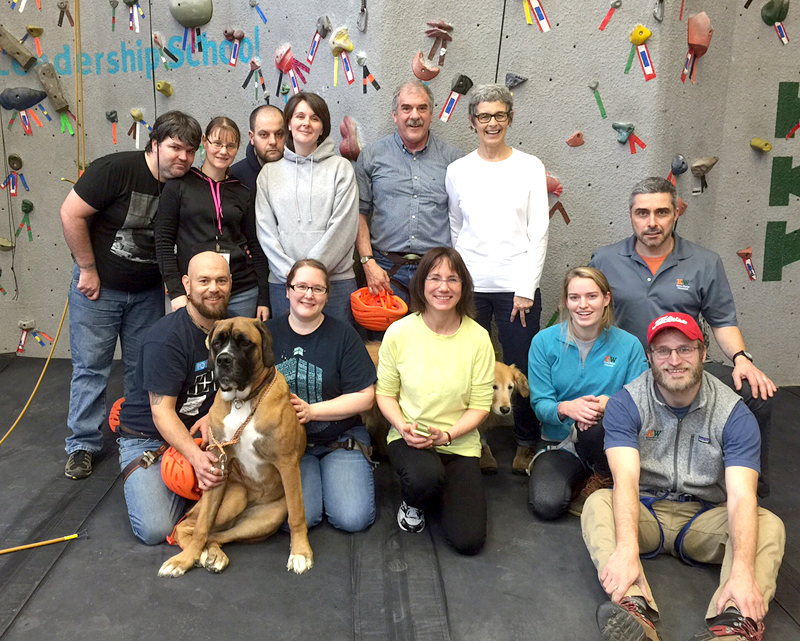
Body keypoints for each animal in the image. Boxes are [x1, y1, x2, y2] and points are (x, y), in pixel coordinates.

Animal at [157, 318, 312, 576]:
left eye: (245, 342)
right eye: (217, 343)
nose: (223, 359)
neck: (243, 400)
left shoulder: (288, 463)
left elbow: (297, 513)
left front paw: (300, 552)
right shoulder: (217, 466)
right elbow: (201, 526)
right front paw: (184, 560)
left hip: (266, 518)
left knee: (216, 535)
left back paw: (214, 555)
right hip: (233, 496)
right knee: (190, 526)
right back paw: (199, 554)